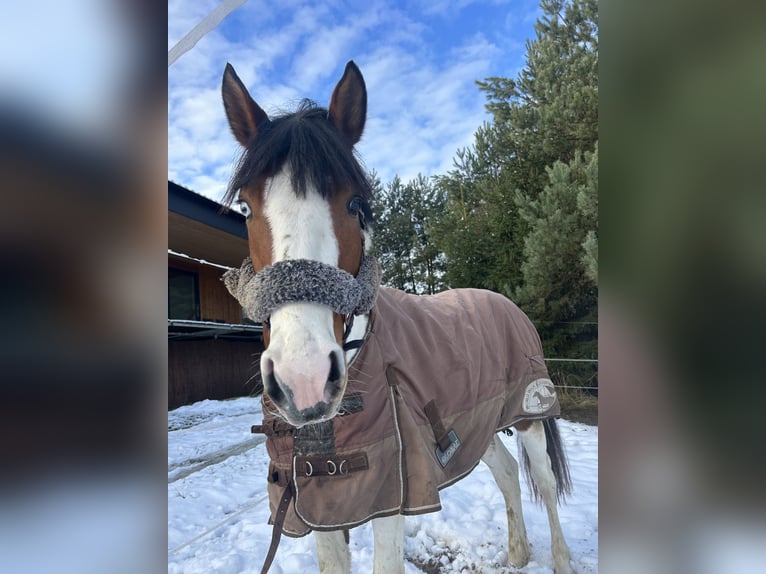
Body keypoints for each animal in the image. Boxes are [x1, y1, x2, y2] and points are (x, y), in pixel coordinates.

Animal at [220, 60, 576, 574]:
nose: (304, 380)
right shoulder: (321, 504)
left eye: (354, 203)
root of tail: (506, 301)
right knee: (508, 473)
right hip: (477, 425)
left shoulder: (390, 495)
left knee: (545, 485)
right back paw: (517, 552)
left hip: (530, 412)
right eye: (246, 207)